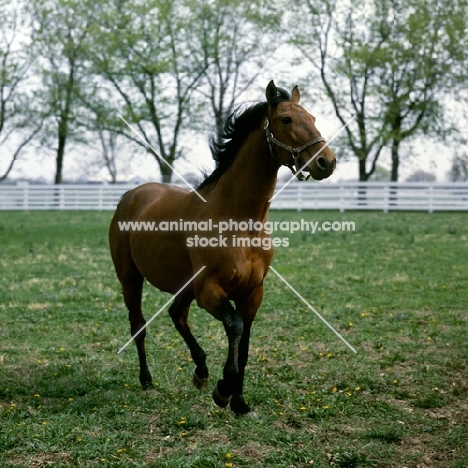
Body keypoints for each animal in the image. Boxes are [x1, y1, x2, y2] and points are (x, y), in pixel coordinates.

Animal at [109, 80, 336, 414]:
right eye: (286, 120)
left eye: (313, 118)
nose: (326, 162)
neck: (240, 223)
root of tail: (131, 195)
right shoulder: (209, 289)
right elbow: (234, 325)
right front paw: (224, 390)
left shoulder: (252, 293)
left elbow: (245, 344)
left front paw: (239, 402)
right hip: (130, 279)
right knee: (139, 325)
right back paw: (148, 380)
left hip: (184, 285)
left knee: (177, 314)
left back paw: (201, 371)